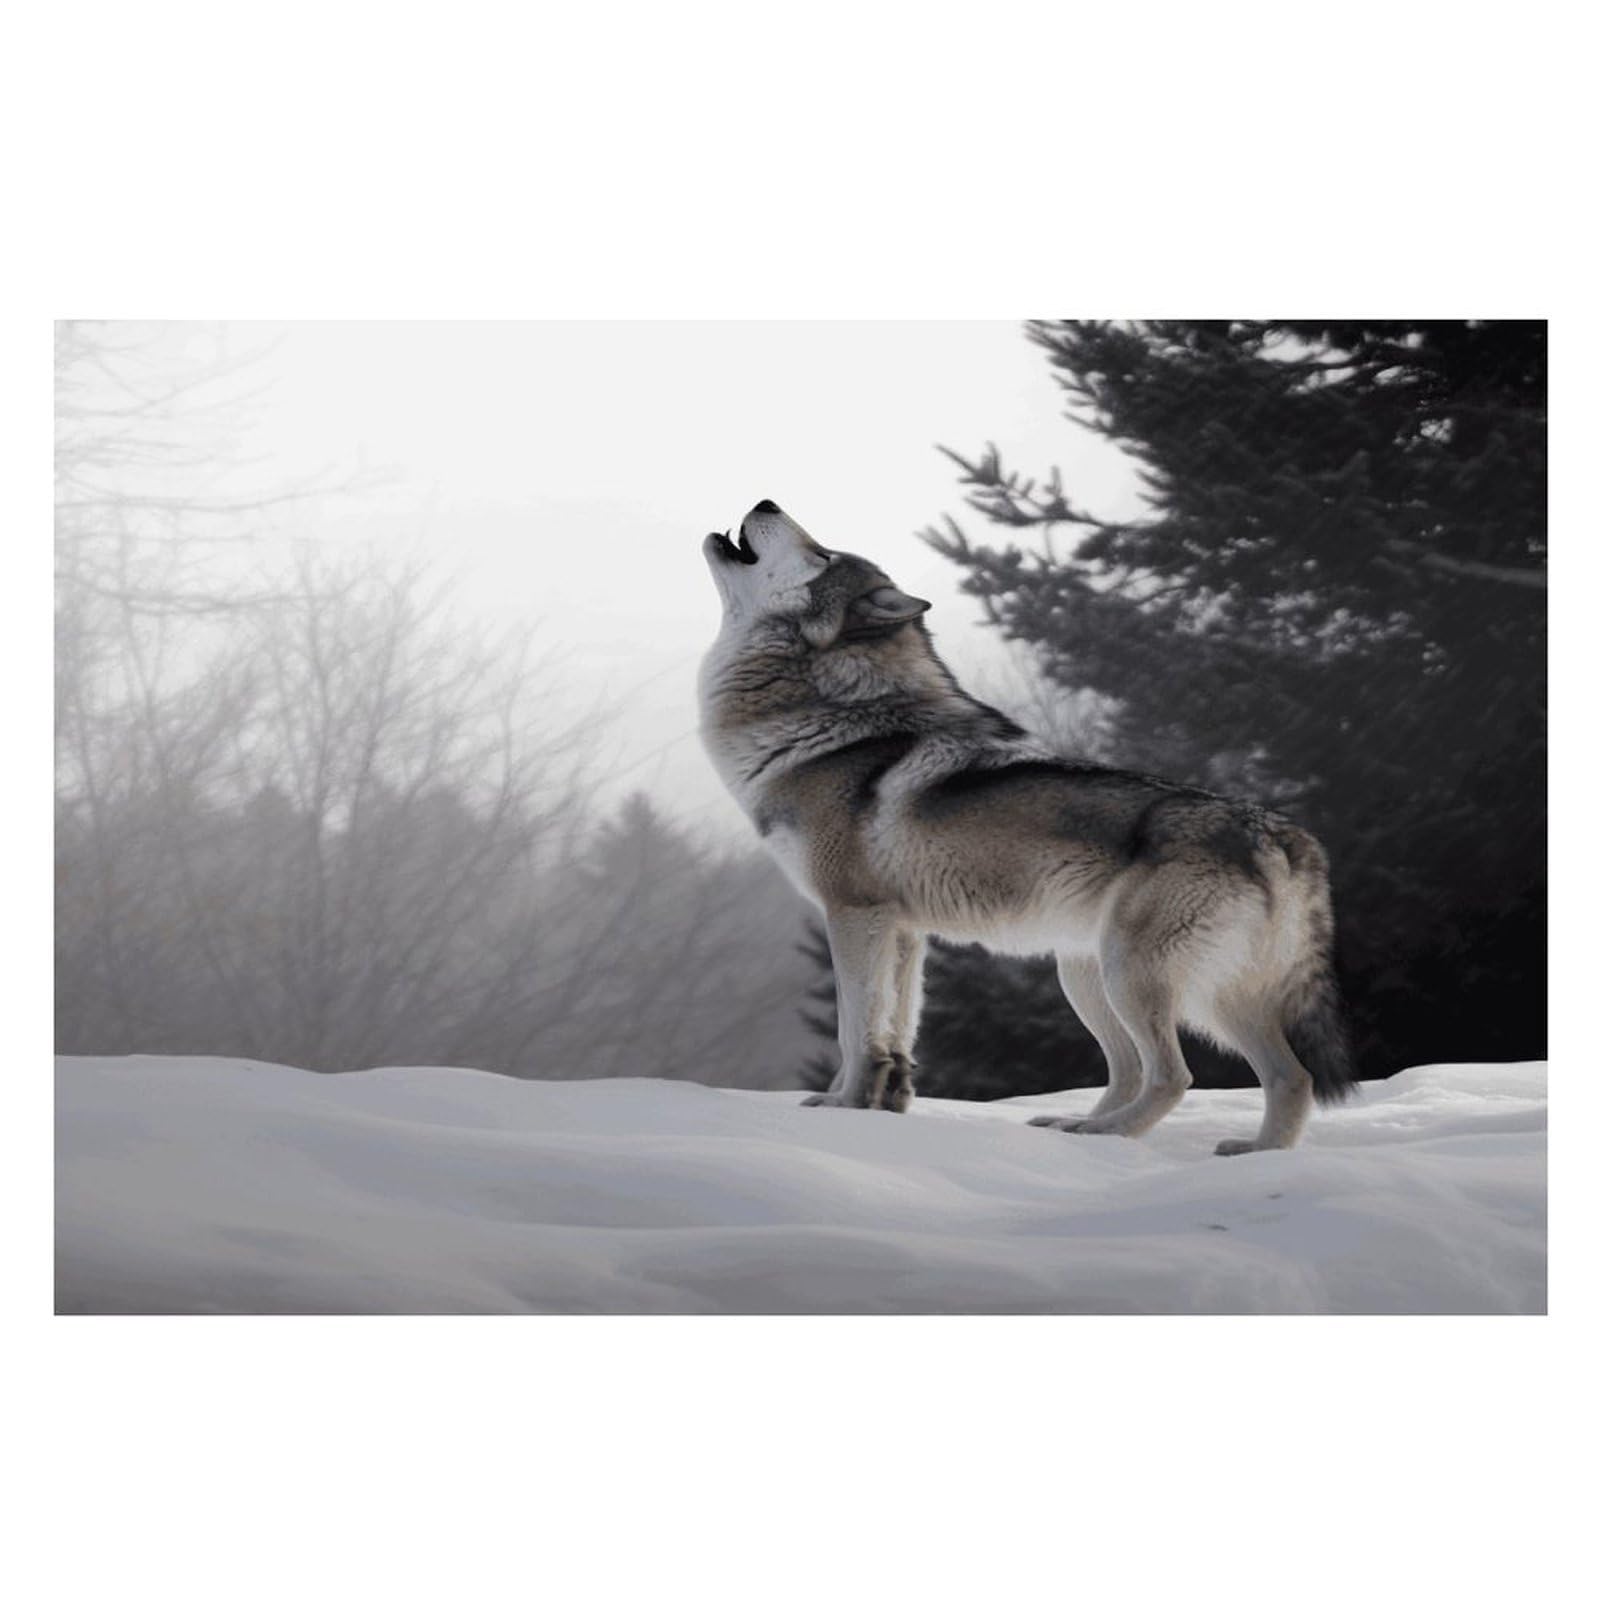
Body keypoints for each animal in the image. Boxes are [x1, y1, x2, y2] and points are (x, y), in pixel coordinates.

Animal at [699, 500, 1355, 1153]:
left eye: (821, 554)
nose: (765, 503)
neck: (832, 716)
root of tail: (1280, 833)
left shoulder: (853, 914)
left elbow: (854, 1026)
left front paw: (841, 1107)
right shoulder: (904, 930)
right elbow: (896, 1028)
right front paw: (884, 1105)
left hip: (1137, 978)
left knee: (1173, 1076)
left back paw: (1106, 1135)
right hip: (1113, 978)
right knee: (1275, 1075)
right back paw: (1235, 1152)